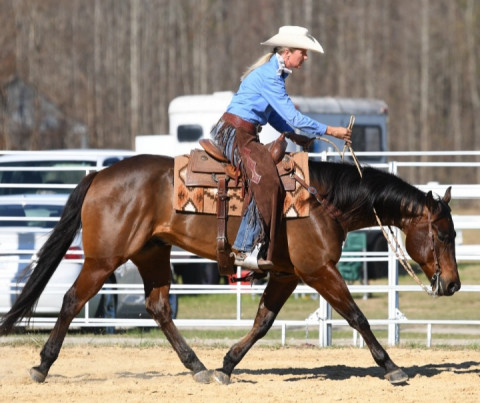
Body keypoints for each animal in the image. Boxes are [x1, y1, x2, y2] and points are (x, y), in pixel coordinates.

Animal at [0, 154, 462, 386]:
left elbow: (262, 322)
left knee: (159, 308)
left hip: (152, 254)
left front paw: (226, 365)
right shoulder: (318, 271)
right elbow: (357, 317)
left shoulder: (287, 275)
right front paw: (392, 367)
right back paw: (42, 366)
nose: (454, 285)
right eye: (442, 234)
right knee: (71, 300)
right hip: (103, 260)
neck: (322, 200)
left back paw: (199, 368)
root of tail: (99, 175)